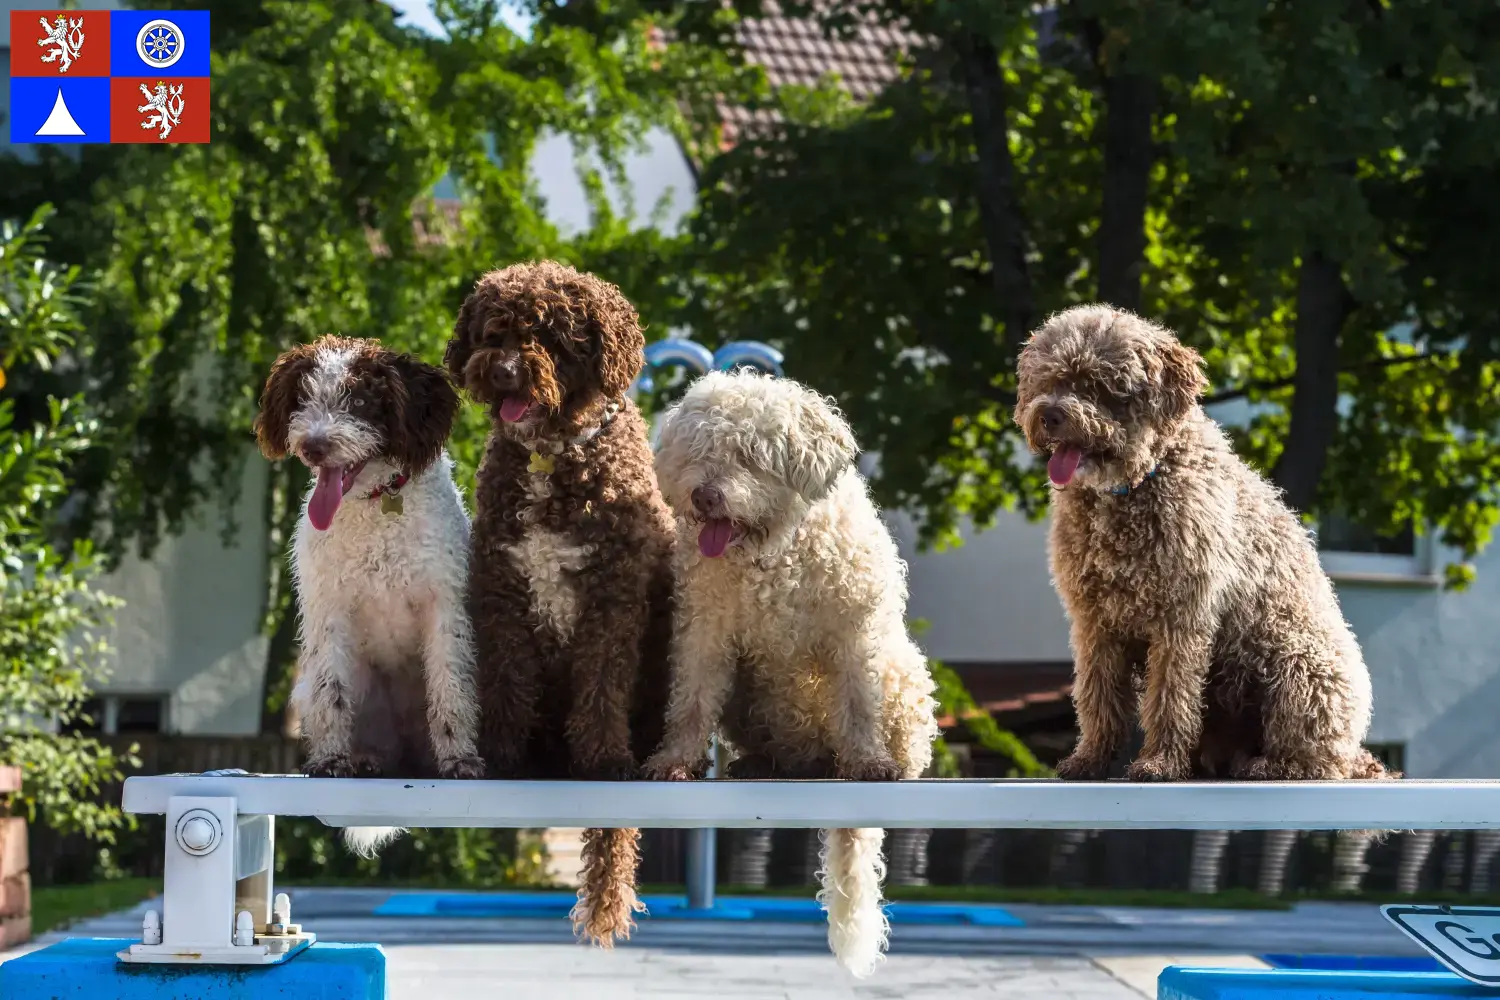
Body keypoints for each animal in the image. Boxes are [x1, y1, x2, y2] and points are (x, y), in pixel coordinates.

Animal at [441, 257, 672, 947]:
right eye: (494, 330)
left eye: (551, 336)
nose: (503, 371)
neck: (553, 454)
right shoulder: (503, 596)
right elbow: (507, 683)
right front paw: (502, 756)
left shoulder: (611, 602)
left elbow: (600, 686)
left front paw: (604, 759)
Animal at [1014, 301, 1386, 785]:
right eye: (1049, 381)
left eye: (1099, 386)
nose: (1049, 415)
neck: (1134, 486)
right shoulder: (1095, 622)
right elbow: (1098, 698)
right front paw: (1090, 759)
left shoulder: (1181, 617)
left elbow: (1170, 698)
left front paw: (1158, 763)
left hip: (1301, 668)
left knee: (1318, 759)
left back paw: (1270, 765)